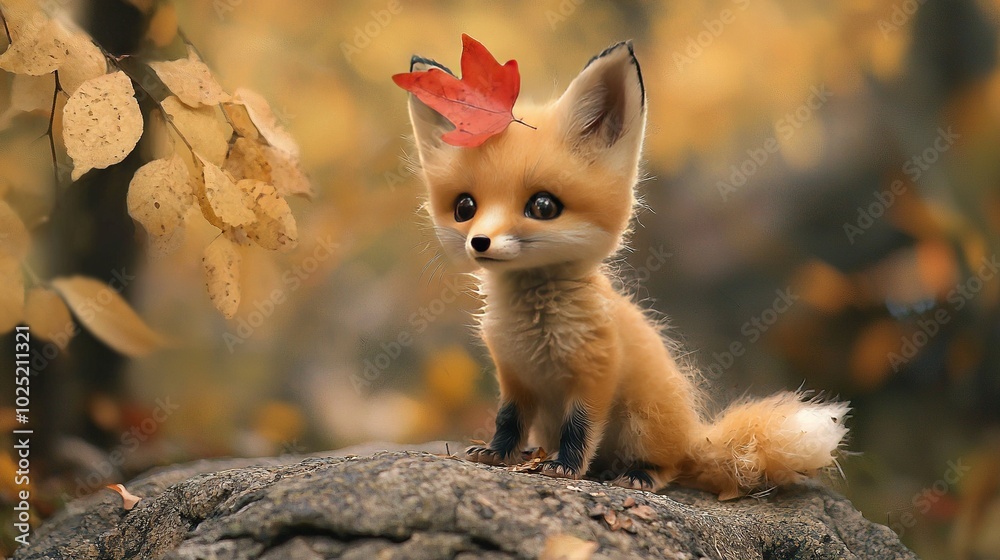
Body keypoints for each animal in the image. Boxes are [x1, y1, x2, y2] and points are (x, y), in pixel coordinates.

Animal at [402, 40, 849, 500]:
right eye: (464, 207)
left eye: (543, 206)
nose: (480, 242)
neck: (536, 334)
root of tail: (694, 435)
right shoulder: (514, 377)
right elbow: (507, 421)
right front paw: (498, 453)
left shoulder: (596, 375)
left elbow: (579, 429)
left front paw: (566, 467)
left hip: (642, 423)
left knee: (670, 467)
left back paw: (638, 474)